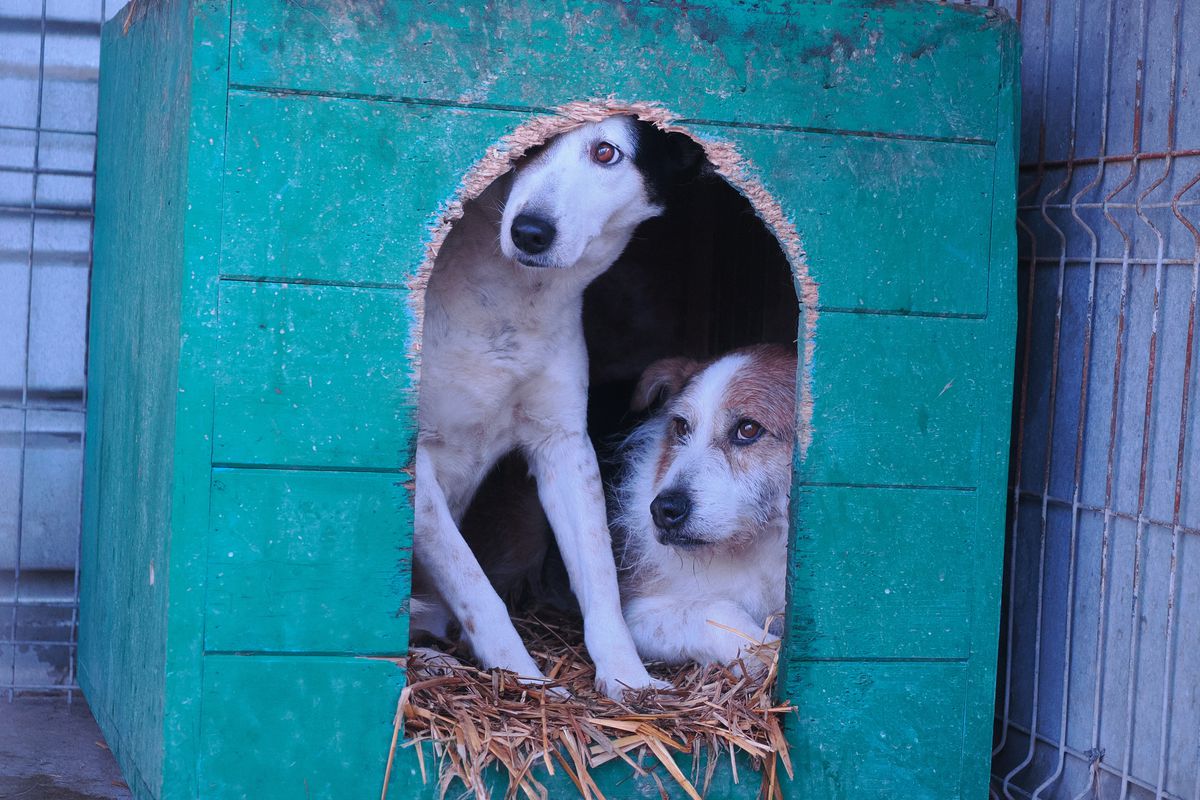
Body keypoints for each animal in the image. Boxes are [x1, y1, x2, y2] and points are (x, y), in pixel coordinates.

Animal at [412, 115, 700, 695]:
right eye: (530, 145)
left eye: (606, 152)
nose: (530, 231)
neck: (513, 298)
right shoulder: (417, 461)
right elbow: (477, 589)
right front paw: (520, 679)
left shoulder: (563, 443)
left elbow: (600, 573)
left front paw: (628, 679)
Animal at [609, 345, 796, 671]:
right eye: (681, 426)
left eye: (748, 429)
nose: (663, 510)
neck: (756, 541)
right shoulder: (635, 611)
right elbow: (712, 612)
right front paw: (764, 649)